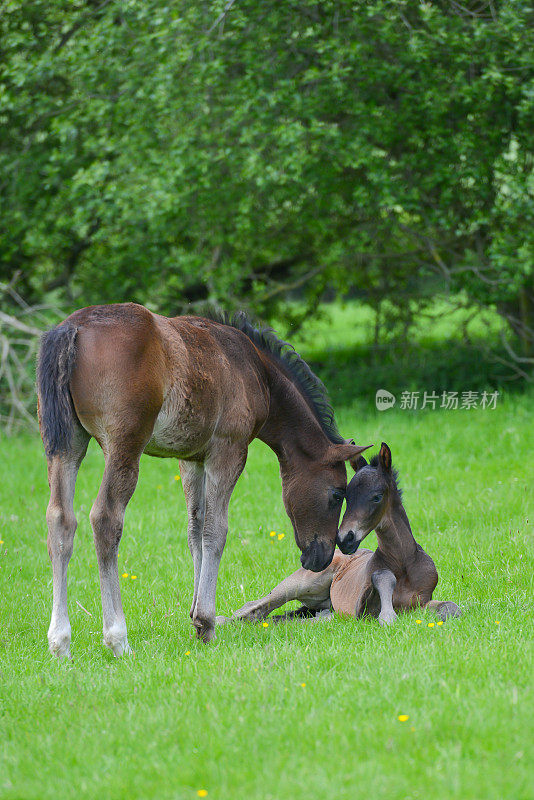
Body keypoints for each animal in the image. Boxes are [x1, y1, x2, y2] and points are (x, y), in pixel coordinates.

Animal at [36, 302, 368, 656]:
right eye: (338, 494)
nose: (323, 558)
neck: (254, 370)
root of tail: (73, 327)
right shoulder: (228, 449)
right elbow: (215, 531)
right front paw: (206, 622)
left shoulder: (191, 458)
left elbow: (194, 530)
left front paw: (195, 616)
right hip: (124, 444)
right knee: (105, 518)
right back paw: (117, 638)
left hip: (65, 444)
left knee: (60, 520)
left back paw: (59, 642)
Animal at [220, 444, 462, 624]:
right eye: (346, 496)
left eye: (376, 497)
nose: (345, 538)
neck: (404, 563)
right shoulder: (360, 608)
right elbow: (383, 580)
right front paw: (388, 616)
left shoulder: (421, 602)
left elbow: (451, 608)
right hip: (299, 583)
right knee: (253, 609)